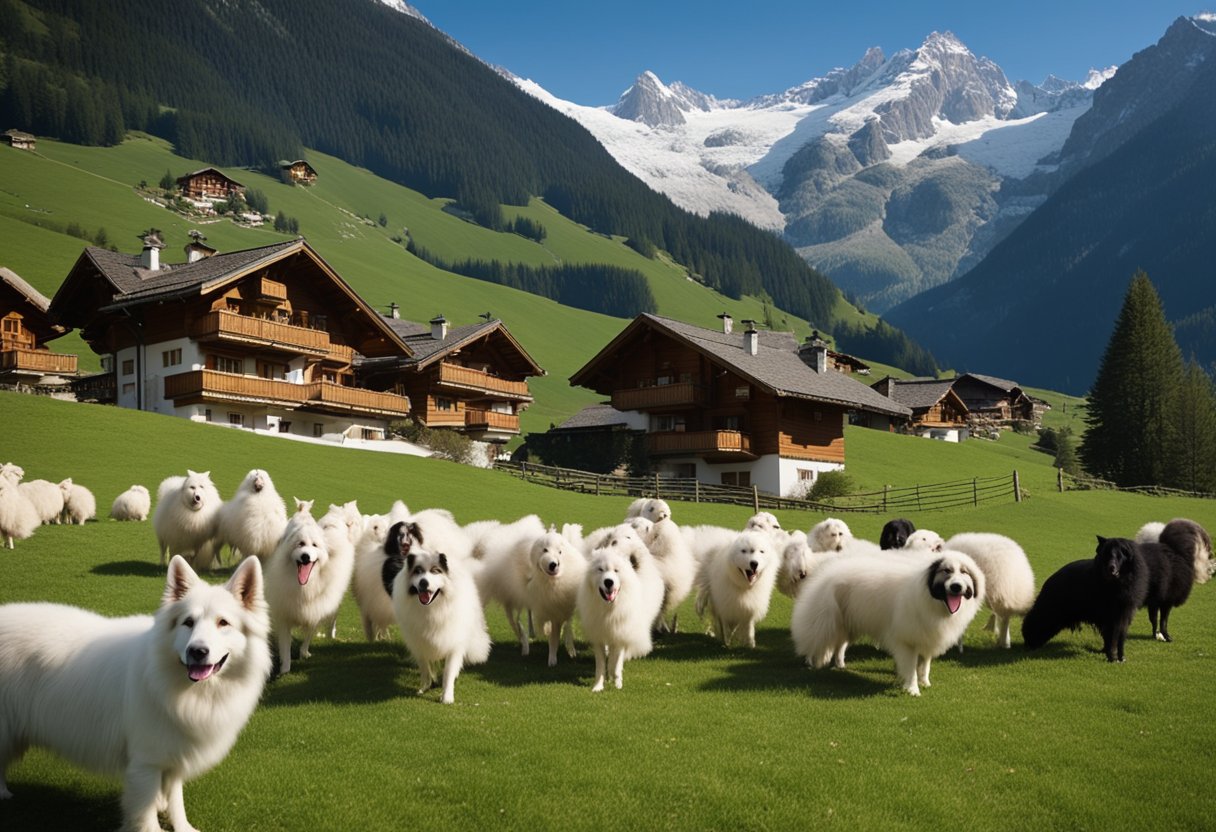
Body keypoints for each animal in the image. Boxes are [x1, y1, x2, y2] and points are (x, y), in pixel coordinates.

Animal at [0, 552, 268, 832]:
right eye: (188, 622)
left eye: (223, 623)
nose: (196, 651)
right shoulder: (145, 764)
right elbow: (146, 814)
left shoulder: (173, 754)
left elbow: (176, 801)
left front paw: (182, 826)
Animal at [261, 506, 345, 676]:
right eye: (300, 544)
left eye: (314, 545)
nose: (305, 556)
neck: (304, 587)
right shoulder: (284, 615)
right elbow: (285, 646)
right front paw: (284, 669)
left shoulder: (315, 611)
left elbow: (308, 635)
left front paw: (304, 652)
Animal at [522, 530, 583, 666]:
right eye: (545, 550)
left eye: (560, 552)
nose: (553, 564)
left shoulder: (557, 613)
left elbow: (554, 638)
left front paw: (552, 660)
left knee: (567, 626)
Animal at [578, 530, 666, 690]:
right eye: (600, 570)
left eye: (616, 571)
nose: (608, 582)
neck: (609, 608)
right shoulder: (599, 636)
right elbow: (601, 665)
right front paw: (598, 686)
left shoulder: (620, 634)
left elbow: (615, 661)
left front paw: (617, 681)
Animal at [787, 552, 987, 695]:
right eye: (946, 571)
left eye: (964, 572)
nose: (956, 586)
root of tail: (828, 571)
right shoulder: (907, 642)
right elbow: (911, 668)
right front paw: (913, 690)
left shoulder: (926, 637)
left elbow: (925, 665)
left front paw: (925, 682)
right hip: (827, 622)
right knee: (815, 639)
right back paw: (811, 662)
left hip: (848, 623)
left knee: (840, 645)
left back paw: (840, 664)